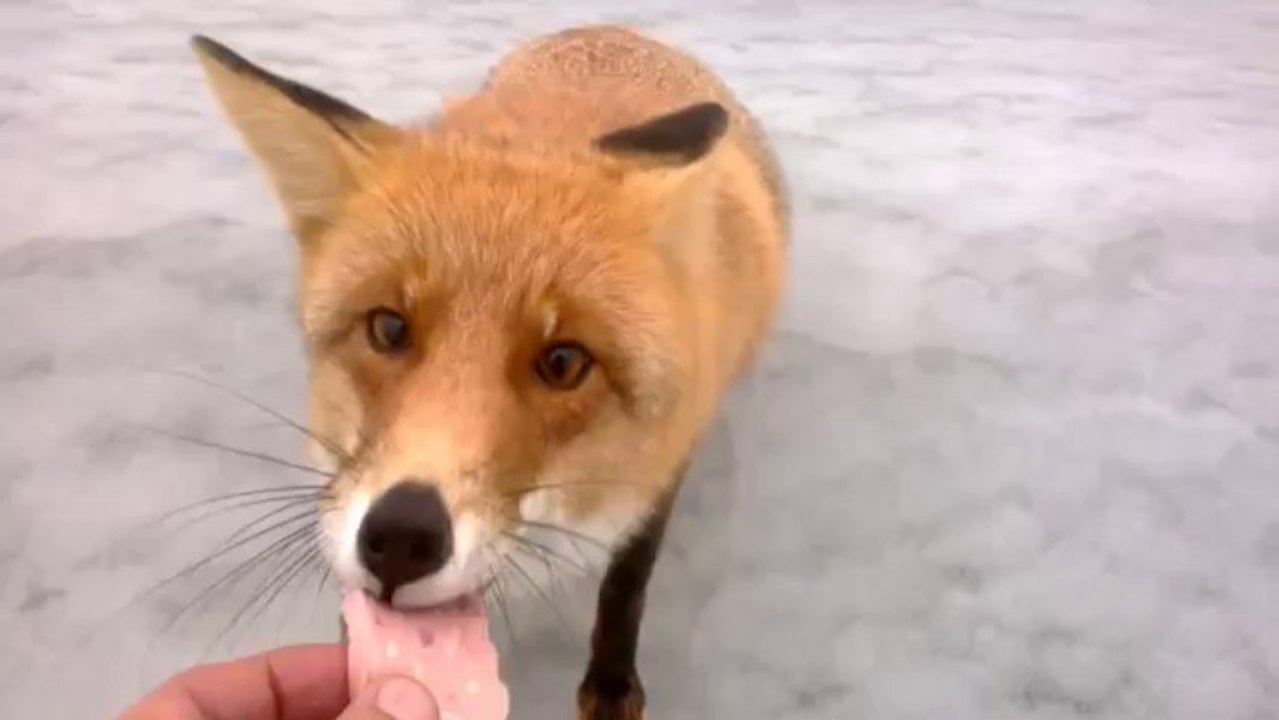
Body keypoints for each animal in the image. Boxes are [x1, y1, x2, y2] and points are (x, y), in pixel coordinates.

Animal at [190, 23, 788, 719]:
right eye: (388, 328)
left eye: (563, 362)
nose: (401, 538)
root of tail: (619, 29)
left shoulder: (666, 459)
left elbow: (627, 580)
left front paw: (612, 681)